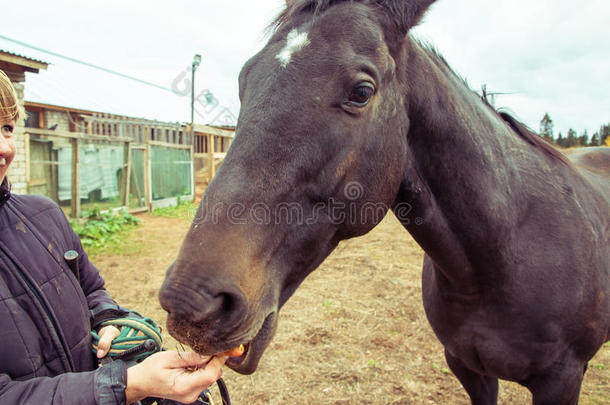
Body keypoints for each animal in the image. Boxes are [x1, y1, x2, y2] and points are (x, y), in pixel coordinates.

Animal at [159, 1, 604, 402]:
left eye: (362, 92)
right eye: (244, 81)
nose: (188, 304)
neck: (505, 255)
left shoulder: (562, 380)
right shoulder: (466, 367)